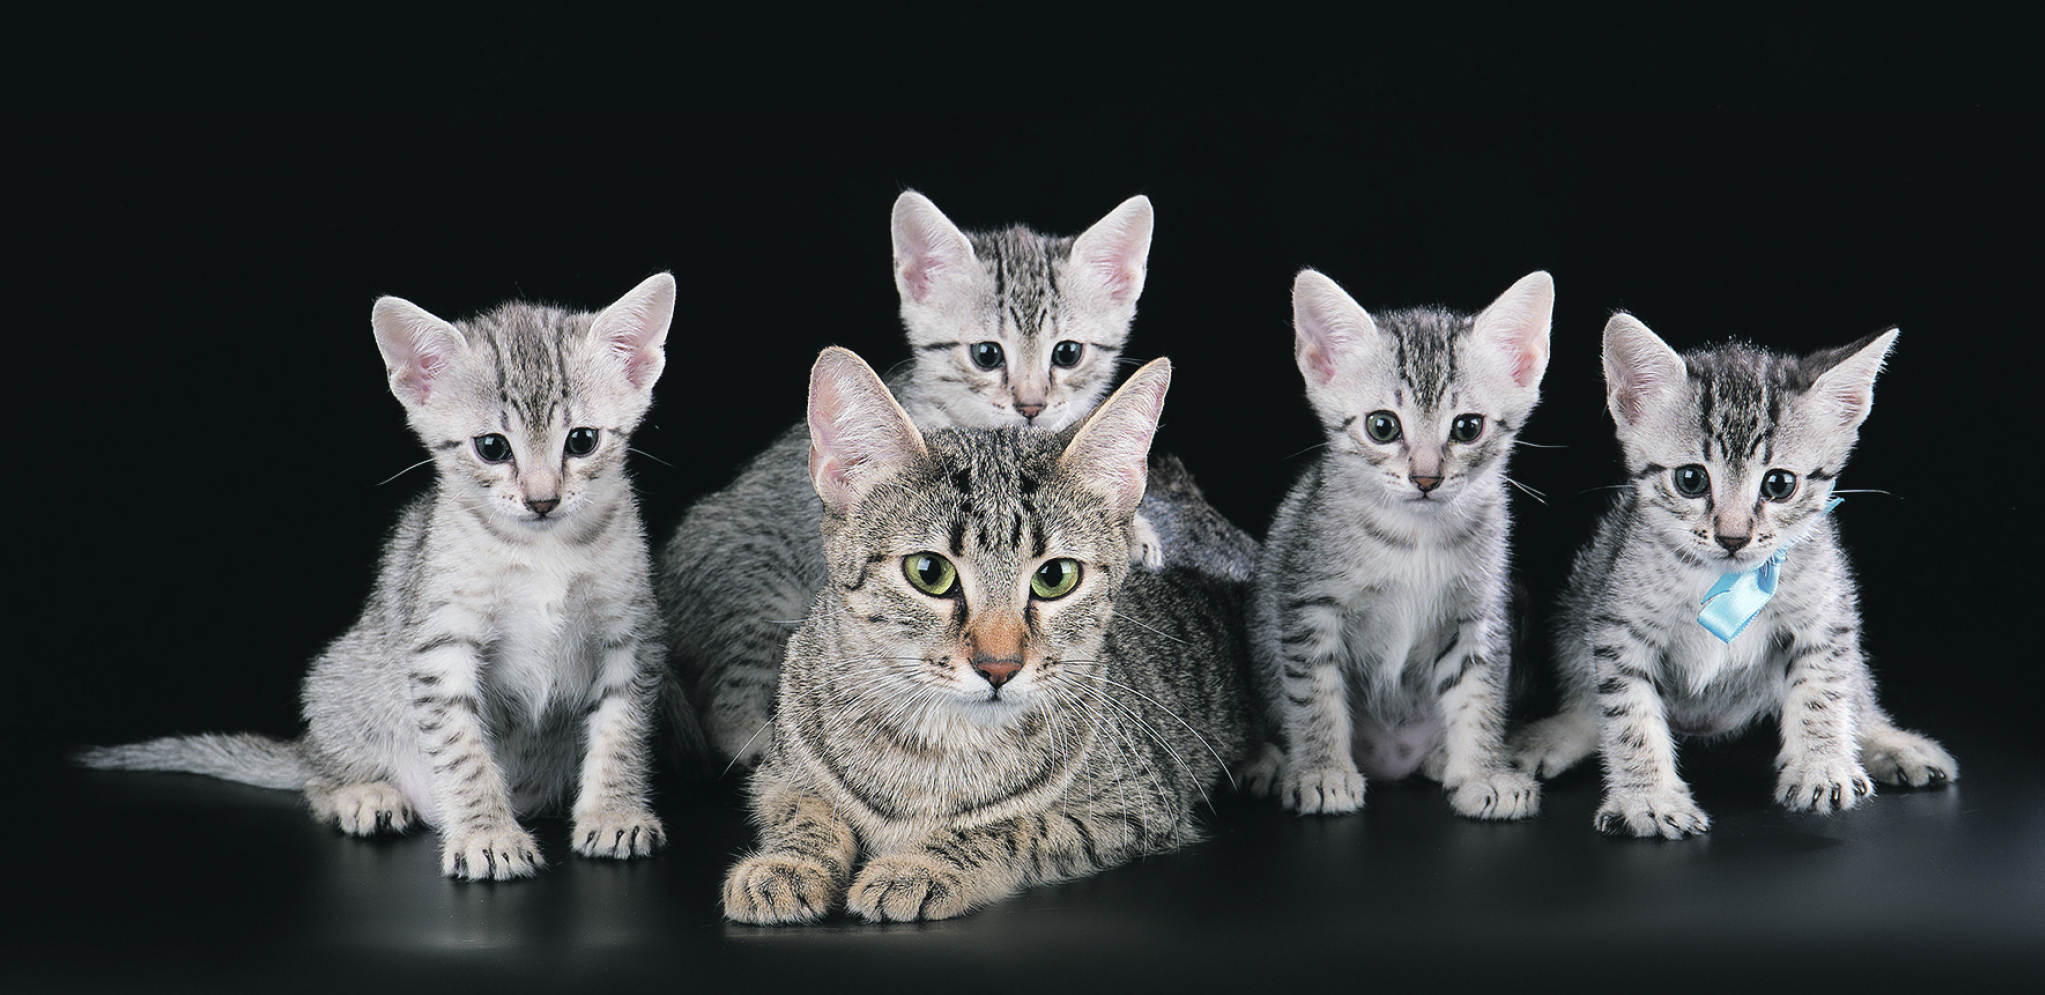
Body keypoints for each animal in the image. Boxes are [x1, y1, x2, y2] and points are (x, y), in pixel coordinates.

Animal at [79, 271, 674, 878]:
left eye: (582, 440)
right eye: (492, 447)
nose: (542, 500)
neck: (543, 550)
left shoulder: (632, 636)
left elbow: (621, 733)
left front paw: (614, 812)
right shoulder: (440, 645)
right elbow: (463, 753)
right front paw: (487, 834)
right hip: (341, 681)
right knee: (315, 777)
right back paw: (363, 794)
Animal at [719, 349, 1259, 927]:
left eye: (1056, 577)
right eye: (929, 572)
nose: (999, 666)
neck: (936, 743)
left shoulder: (1132, 807)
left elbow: (1012, 827)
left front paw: (921, 865)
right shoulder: (776, 776)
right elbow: (807, 813)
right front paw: (786, 863)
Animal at [1243, 269, 1546, 821]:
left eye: (1467, 427)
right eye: (1382, 426)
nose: (1426, 478)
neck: (1415, 537)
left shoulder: (1478, 616)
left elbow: (1479, 695)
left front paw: (1483, 772)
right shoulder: (1307, 603)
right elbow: (1314, 694)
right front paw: (1322, 770)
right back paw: (1270, 761)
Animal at [1513, 312, 1955, 841]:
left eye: (1779, 484)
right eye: (1690, 479)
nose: (1733, 536)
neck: (1725, 579)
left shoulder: (1825, 613)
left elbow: (1824, 690)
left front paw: (1821, 766)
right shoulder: (1618, 629)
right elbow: (1629, 716)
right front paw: (1648, 797)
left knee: (1855, 685)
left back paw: (1887, 741)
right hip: (1585, 592)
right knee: (1586, 695)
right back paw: (1556, 734)